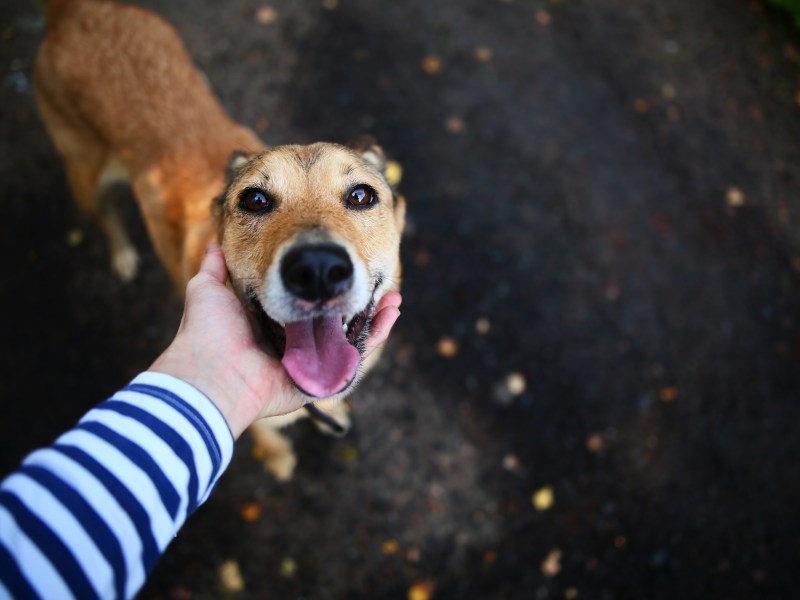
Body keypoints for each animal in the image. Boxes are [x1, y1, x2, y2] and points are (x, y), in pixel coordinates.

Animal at [33, 0, 404, 478]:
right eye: (255, 200)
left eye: (361, 196)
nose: (318, 270)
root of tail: (73, 10)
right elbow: (267, 438)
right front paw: (279, 459)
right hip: (84, 174)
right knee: (105, 214)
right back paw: (123, 254)